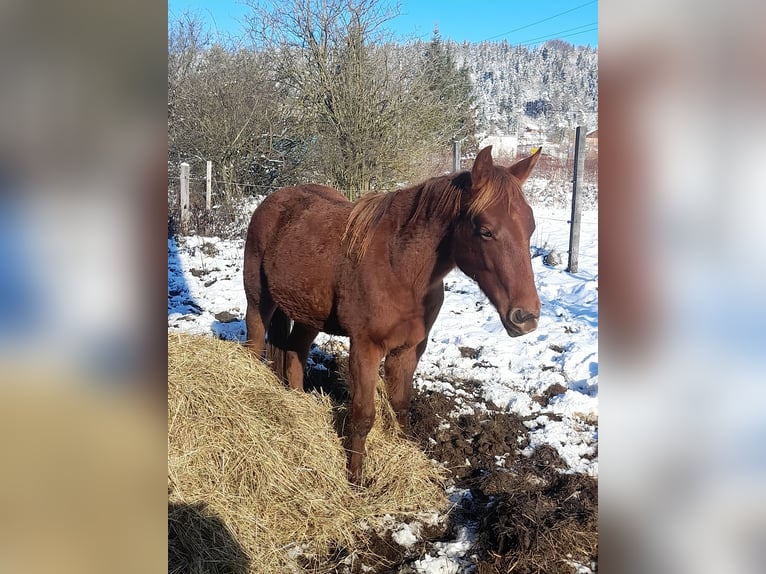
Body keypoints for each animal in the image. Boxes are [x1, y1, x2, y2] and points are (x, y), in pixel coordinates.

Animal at [243, 146, 542, 484]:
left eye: (530, 227)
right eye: (485, 231)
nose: (526, 317)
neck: (400, 267)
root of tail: (272, 201)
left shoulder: (408, 349)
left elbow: (401, 408)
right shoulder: (365, 348)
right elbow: (363, 416)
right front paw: (355, 480)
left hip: (308, 315)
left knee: (295, 353)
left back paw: (299, 404)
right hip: (258, 302)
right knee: (255, 345)